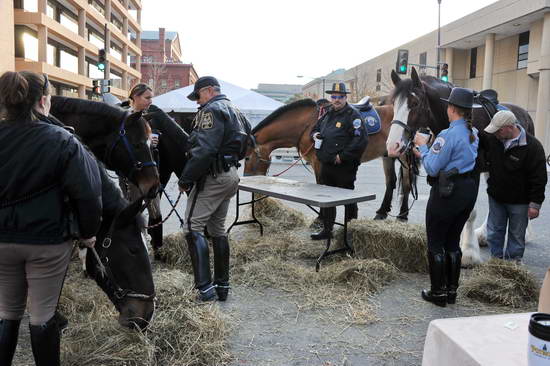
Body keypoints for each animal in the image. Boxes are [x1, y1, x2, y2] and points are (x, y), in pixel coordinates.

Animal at [245, 97, 418, 222]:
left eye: (246, 157)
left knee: (406, 183)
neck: (307, 125)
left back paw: (402, 215)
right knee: (391, 182)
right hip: (388, 156)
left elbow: (322, 185)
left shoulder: (319, 163)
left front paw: (320, 218)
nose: (246, 177)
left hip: (404, 156)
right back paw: (382, 212)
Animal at [388, 66, 536, 266]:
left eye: (415, 102)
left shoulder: (472, 171)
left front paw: (468, 252)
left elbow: (469, 212)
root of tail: (523, 112)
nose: (393, 146)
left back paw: (523, 234)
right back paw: (484, 235)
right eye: (394, 103)